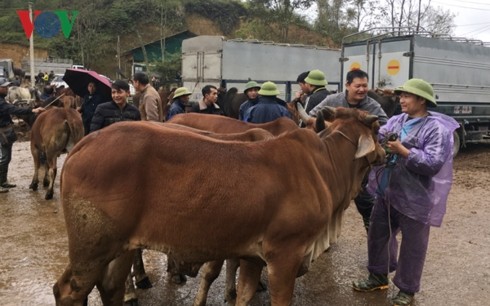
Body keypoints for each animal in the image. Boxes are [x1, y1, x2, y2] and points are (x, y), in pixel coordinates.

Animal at [52, 106, 382, 306]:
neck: (325, 167)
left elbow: (243, 296)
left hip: (119, 248)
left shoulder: (252, 257)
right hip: (91, 247)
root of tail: (85, 143)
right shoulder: (284, 255)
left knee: (110, 287)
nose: (385, 150)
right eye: (377, 131)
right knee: (68, 290)